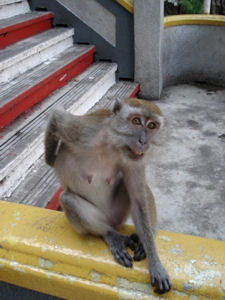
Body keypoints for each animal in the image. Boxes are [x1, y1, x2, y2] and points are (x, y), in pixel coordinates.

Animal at [45, 98, 172, 292]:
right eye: (136, 121)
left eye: (152, 126)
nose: (143, 141)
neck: (113, 145)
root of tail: (112, 222)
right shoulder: (85, 132)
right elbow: (57, 117)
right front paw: (50, 158)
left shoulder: (135, 160)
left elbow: (138, 200)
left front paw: (155, 261)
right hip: (103, 218)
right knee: (68, 200)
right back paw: (110, 234)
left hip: (118, 214)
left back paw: (149, 232)